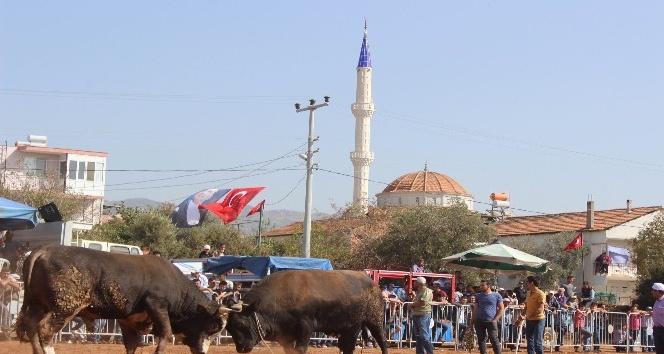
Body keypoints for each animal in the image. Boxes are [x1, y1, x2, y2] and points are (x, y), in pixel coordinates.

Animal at [13, 245, 224, 354]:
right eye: (213, 327)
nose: (202, 352)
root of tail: (45, 250)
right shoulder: (157, 305)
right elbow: (166, 334)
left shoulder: (126, 319)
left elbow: (131, 344)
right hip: (64, 307)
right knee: (44, 330)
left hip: (38, 305)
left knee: (31, 325)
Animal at [226, 270, 386, 354]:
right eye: (228, 327)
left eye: (241, 323)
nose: (241, 347)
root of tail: (372, 283)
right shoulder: (285, 336)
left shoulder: (305, 326)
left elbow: (300, 349)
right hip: (351, 327)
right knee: (348, 347)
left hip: (374, 319)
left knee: (382, 341)